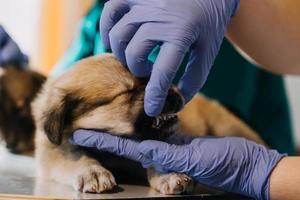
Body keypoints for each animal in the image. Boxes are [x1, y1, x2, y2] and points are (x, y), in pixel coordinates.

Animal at [31, 54, 264, 195]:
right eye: (127, 91)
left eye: (152, 79)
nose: (173, 91)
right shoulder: (54, 150)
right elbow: (77, 155)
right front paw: (92, 172)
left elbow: (156, 157)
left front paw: (169, 176)